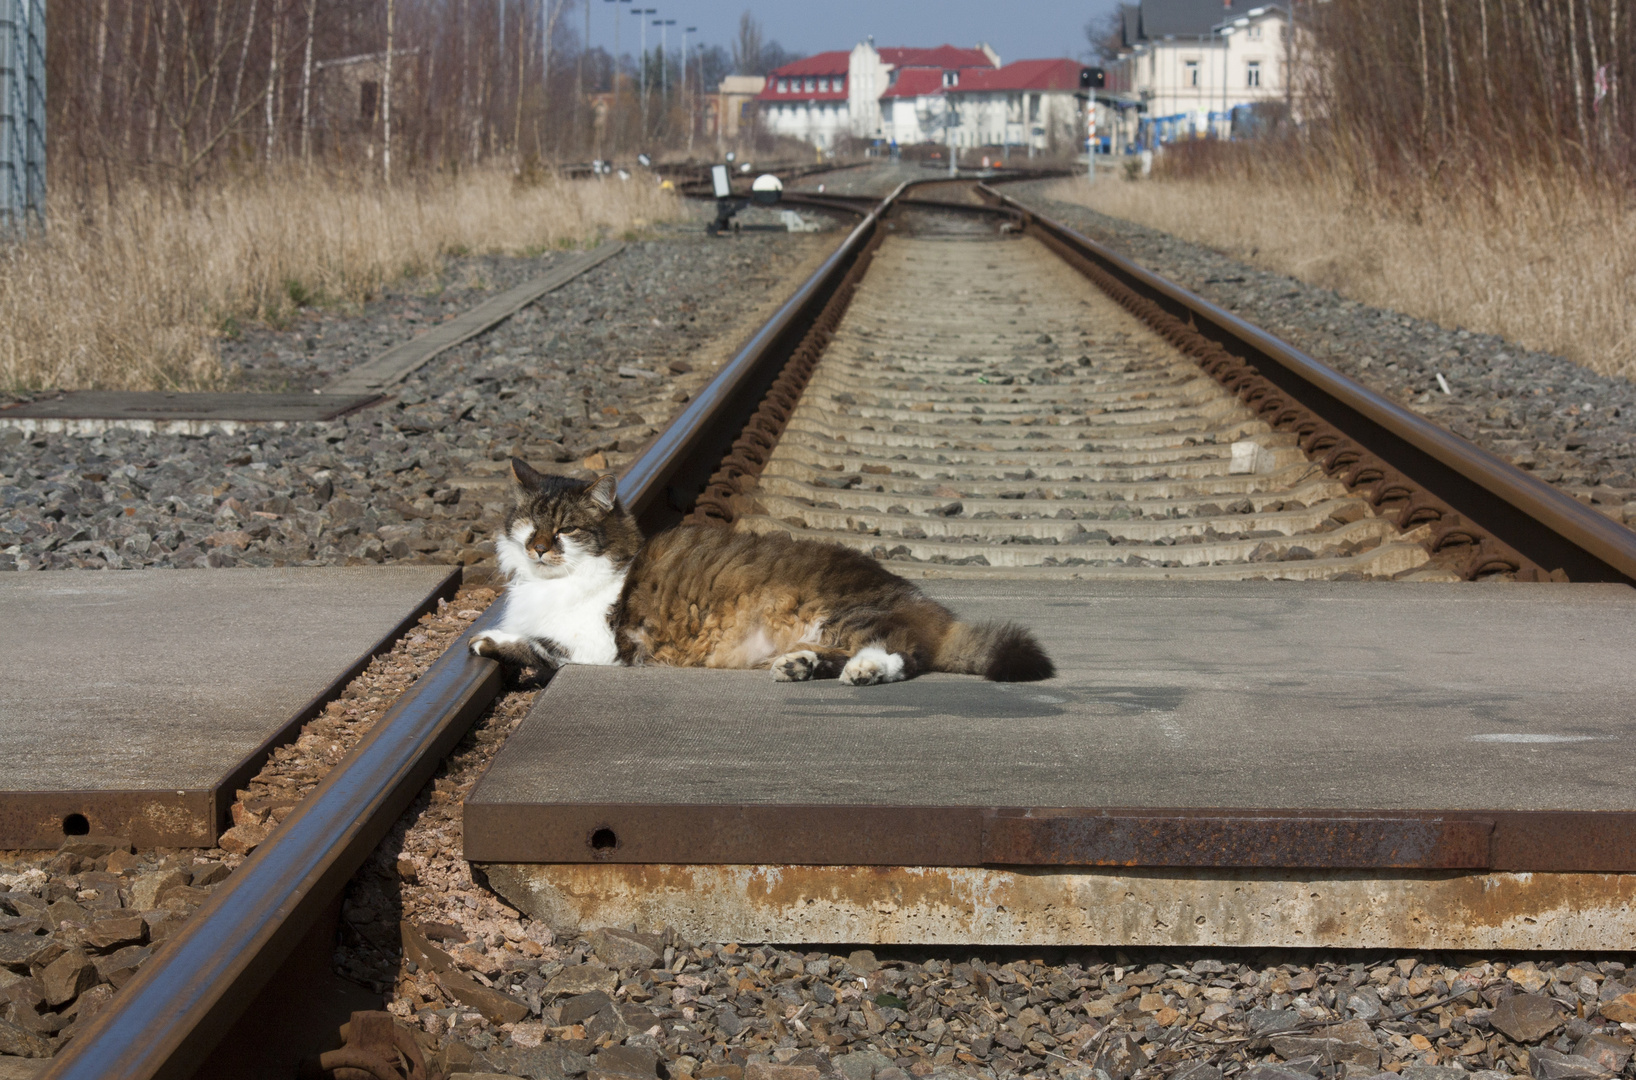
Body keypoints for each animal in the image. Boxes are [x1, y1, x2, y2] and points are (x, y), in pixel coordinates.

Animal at [471, 458, 1060, 684]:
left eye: (567, 530)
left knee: (901, 654)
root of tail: (925, 603)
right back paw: (801, 666)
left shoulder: (598, 643)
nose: (540, 550)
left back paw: (862, 671)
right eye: (530, 526)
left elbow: (534, 644)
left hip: (849, 615)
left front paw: (487, 640)